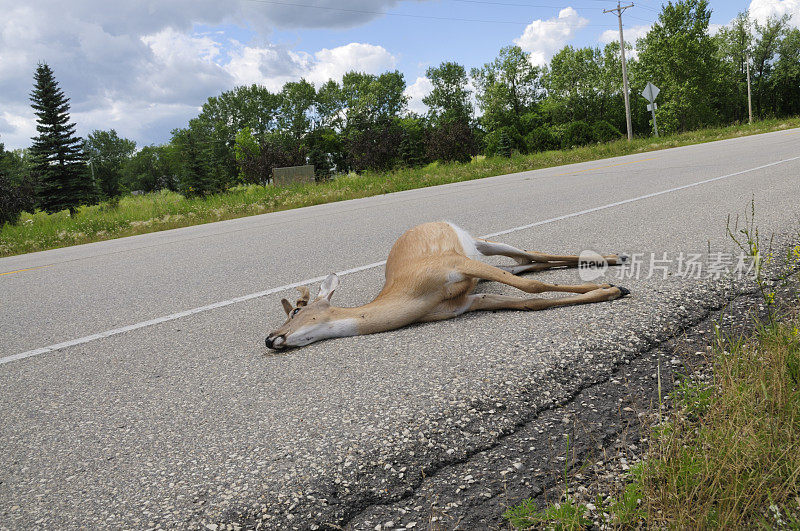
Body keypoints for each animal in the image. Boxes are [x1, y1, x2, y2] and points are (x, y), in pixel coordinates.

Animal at [266, 222, 628, 352]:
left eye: (296, 310)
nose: (270, 338)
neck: (414, 296)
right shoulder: (466, 301)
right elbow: (530, 301)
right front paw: (608, 290)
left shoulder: (455, 264)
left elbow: (532, 288)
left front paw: (612, 289)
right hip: (487, 262)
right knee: (527, 263)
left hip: (481, 246)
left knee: (533, 256)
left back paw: (617, 257)